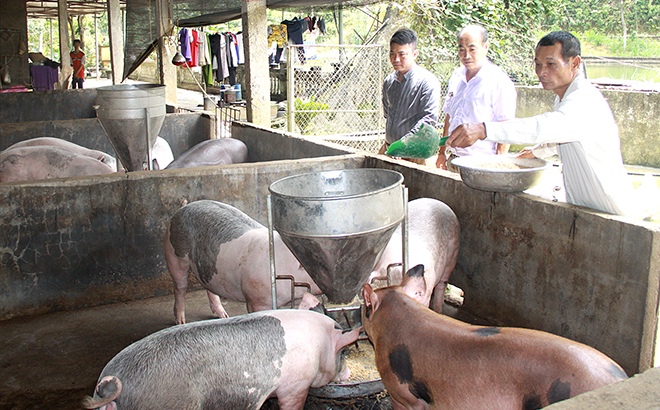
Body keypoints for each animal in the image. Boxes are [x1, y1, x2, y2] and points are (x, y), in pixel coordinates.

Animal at [164, 200, 320, 326]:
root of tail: (183, 207)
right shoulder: (257, 299)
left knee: (208, 285)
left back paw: (224, 316)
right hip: (175, 255)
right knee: (180, 287)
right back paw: (180, 322)